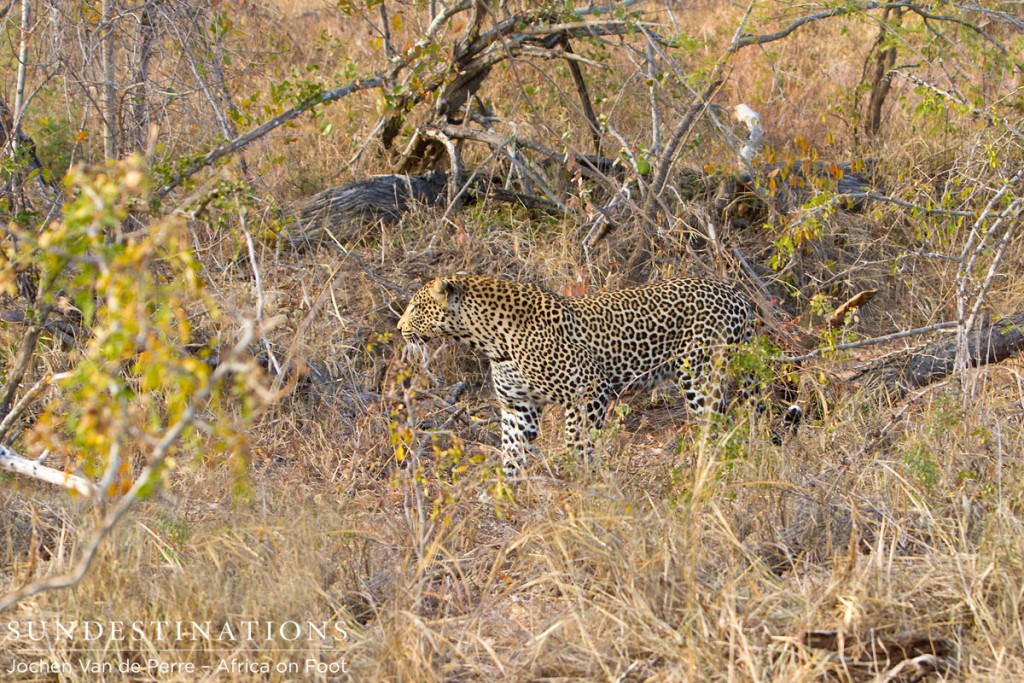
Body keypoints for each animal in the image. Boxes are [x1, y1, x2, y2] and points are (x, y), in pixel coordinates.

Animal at [393, 274, 798, 479]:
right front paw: (503, 497)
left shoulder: (588, 393)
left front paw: (582, 487)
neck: (492, 340)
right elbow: (511, 454)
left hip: (700, 378)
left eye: (415, 307)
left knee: (719, 428)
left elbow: (578, 445)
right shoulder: (518, 407)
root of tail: (738, 295)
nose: (398, 329)